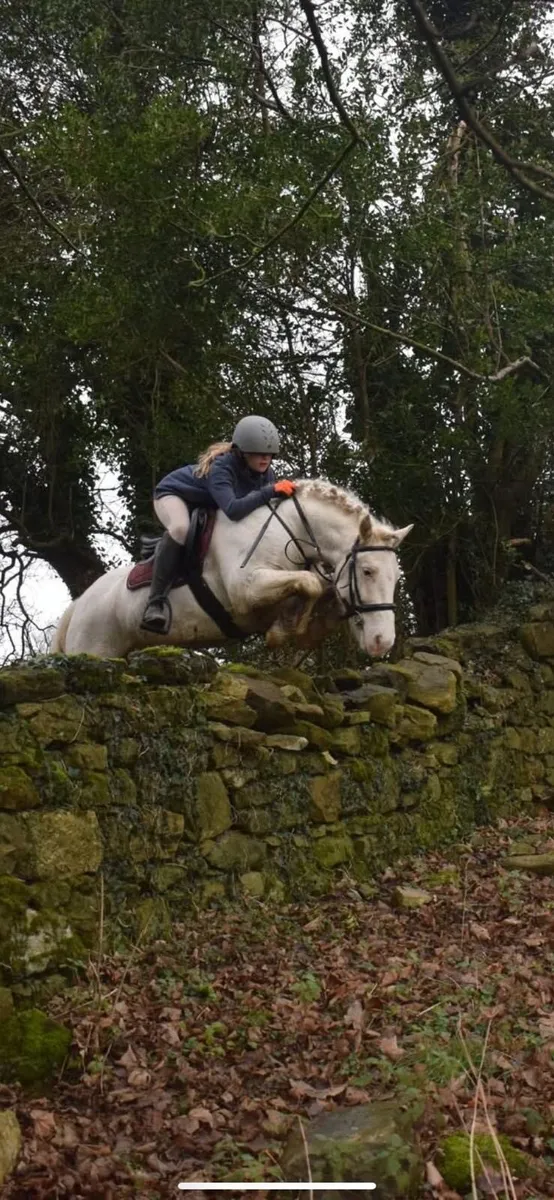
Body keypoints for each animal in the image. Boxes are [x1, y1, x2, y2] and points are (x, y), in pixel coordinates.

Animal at [49, 479, 413, 659]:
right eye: (367, 572)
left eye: (395, 578)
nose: (382, 642)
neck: (291, 527)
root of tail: (78, 605)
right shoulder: (246, 589)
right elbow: (310, 583)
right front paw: (283, 630)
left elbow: (319, 588)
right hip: (94, 647)